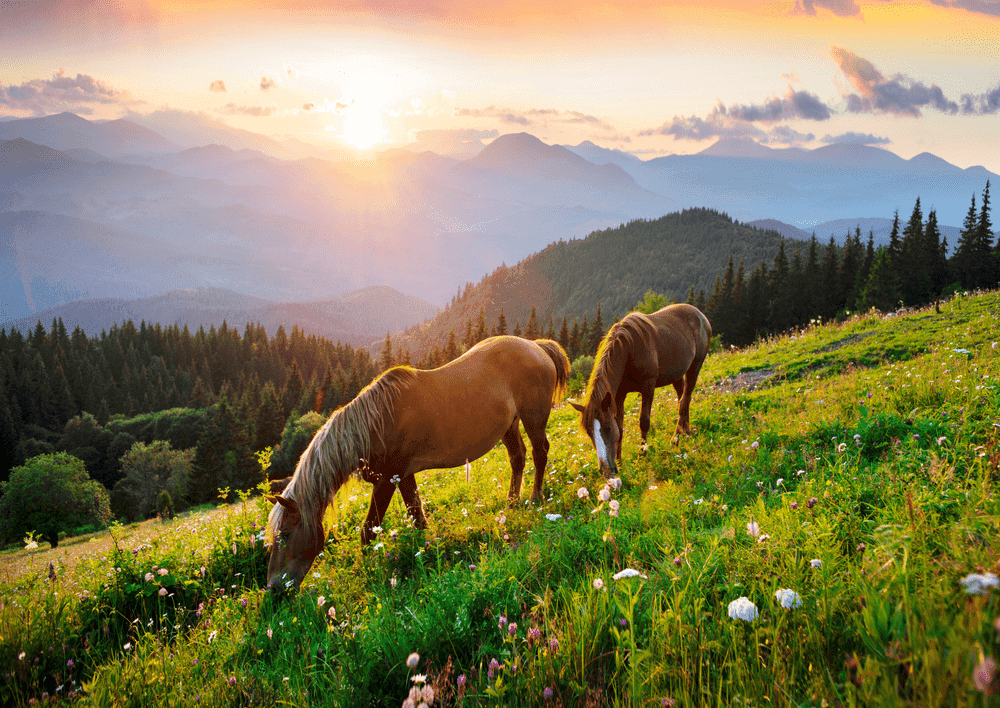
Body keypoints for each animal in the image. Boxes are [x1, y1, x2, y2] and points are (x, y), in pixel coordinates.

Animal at [266, 335, 570, 593]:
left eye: (285, 534)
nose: (273, 589)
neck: (375, 424)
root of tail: (536, 345)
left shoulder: (388, 480)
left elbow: (368, 531)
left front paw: (363, 571)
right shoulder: (403, 476)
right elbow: (417, 515)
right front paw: (429, 549)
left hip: (533, 418)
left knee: (540, 453)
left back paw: (535, 498)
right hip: (509, 425)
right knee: (517, 458)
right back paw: (511, 503)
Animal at [570, 303, 711, 478]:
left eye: (607, 428)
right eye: (589, 432)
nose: (606, 471)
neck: (628, 350)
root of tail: (700, 314)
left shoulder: (648, 387)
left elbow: (644, 422)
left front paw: (642, 456)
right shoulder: (619, 395)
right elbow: (620, 427)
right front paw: (620, 462)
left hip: (695, 366)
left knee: (685, 400)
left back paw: (675, 439)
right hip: (677, 374)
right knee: (682, 397)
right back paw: (686, 430)